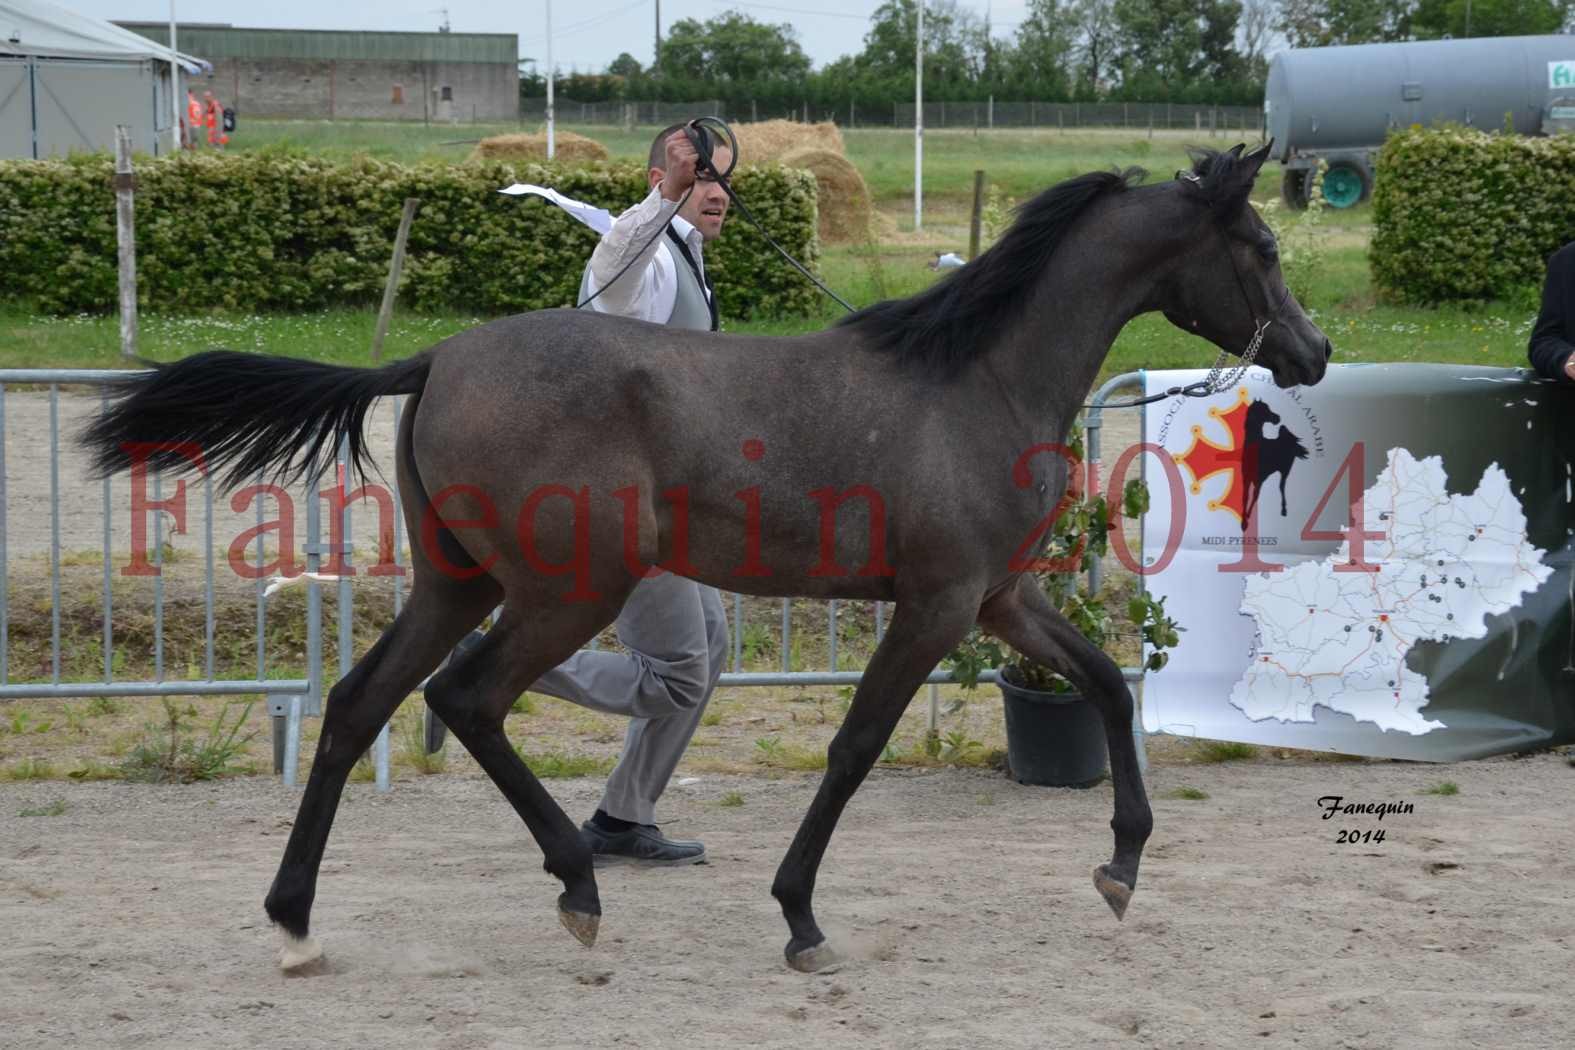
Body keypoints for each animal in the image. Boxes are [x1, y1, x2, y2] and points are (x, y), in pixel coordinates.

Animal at [83, 144, 1329, 976]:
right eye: (1262, 248)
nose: (1313, 351)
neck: (974, 379)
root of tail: (435, 359)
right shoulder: (935, 606)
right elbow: (855, 746)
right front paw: (802, 918)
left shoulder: (1000, 600)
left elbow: (1110, 683)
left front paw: (1121, 869)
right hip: (564, 590)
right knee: (467, 699)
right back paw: (579, 887)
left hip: (459, 583)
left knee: (358, 704)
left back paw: (296, 922)